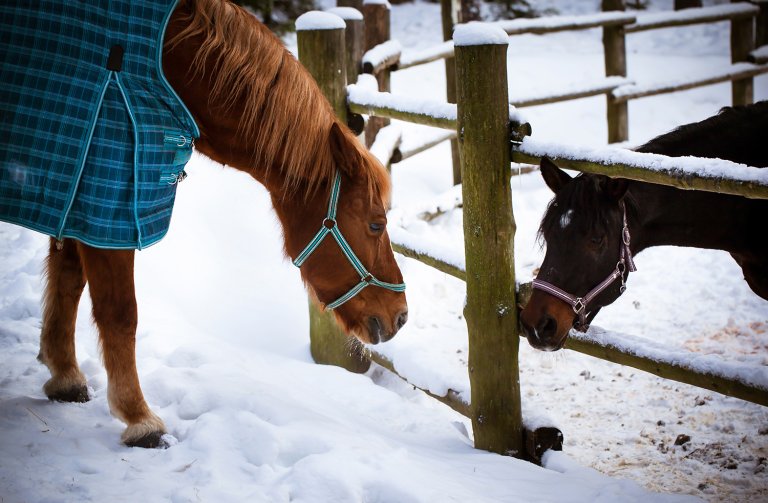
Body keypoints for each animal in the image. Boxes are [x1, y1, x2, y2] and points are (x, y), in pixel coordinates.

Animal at [36, 0, 408, 448]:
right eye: (376, 225)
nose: (401, 315)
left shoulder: (76, 199)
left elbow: (67, 279)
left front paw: (64, 374)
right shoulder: (109, 204)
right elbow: (120, 312)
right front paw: (138, 416)